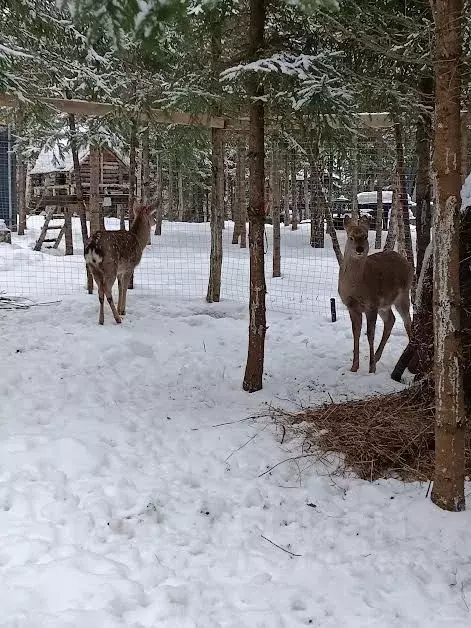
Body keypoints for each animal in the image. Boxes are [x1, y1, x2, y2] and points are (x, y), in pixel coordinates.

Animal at [340, 216, 412, 372]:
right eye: (351, 237)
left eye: (365, 236)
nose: (359, 249)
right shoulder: (351, 306)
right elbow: (356, 333)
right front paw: (354, 367)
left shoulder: (371, 304)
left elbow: (370, 335)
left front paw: (371, 368)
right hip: (384, 304)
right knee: (391, 320)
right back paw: (378, 356)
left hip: (403, 294)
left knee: (407, 321)